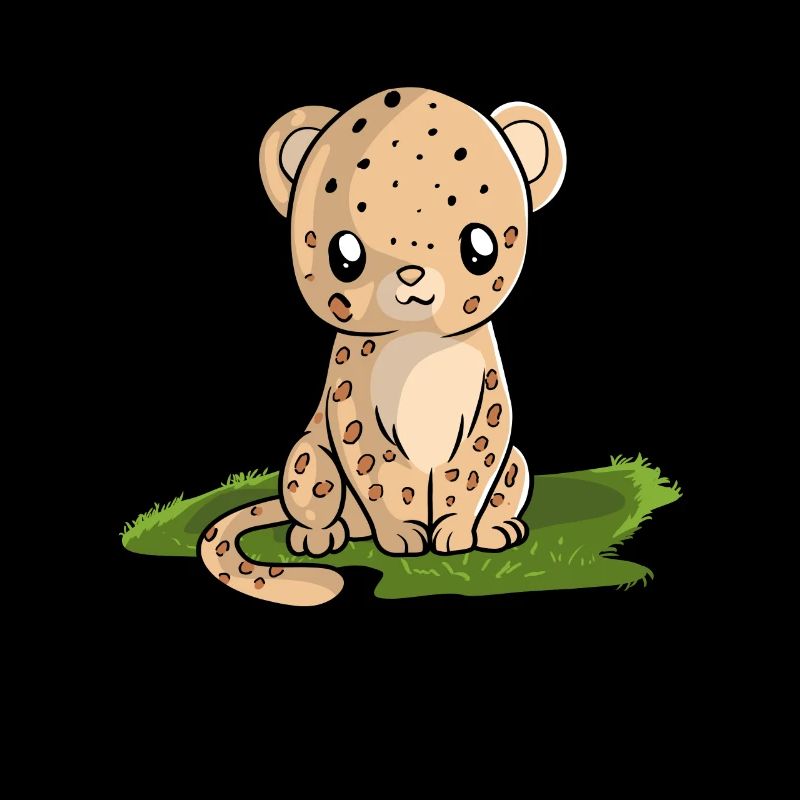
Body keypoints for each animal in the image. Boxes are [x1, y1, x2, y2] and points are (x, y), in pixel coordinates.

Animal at [199, 87, 566, 605]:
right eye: (344, 256)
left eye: (480, 247)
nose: (411, 274)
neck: (418, 346)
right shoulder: (353, 409)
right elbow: (387, 479)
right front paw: (405, 537)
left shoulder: (489, 400)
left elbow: (468, 473)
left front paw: (455, 535)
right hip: (310, 459)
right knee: (325, 507)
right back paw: (319, 537)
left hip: (517, 460)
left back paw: (498, 530)